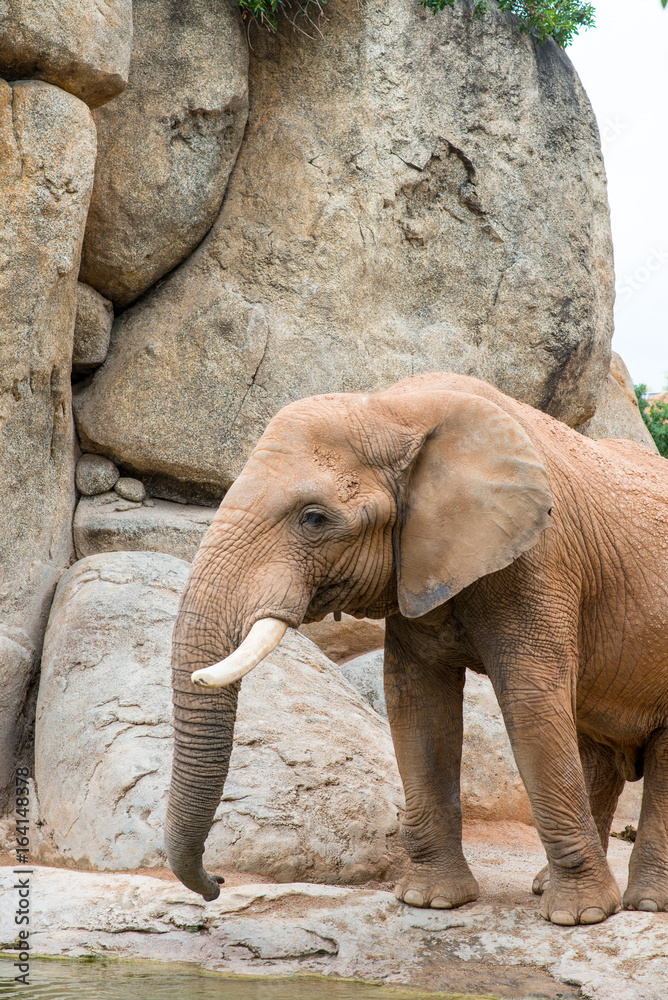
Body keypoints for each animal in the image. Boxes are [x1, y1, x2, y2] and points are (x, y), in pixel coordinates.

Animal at [165, 371, 668, 926]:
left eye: (314, 519)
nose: (217, 883)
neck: (394, 406)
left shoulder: (540, 559)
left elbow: (530, 701)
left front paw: (578, 918)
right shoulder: (418, 561)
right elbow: (417, 703)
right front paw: (433, 902)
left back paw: (646, 904)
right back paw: (552, 886)